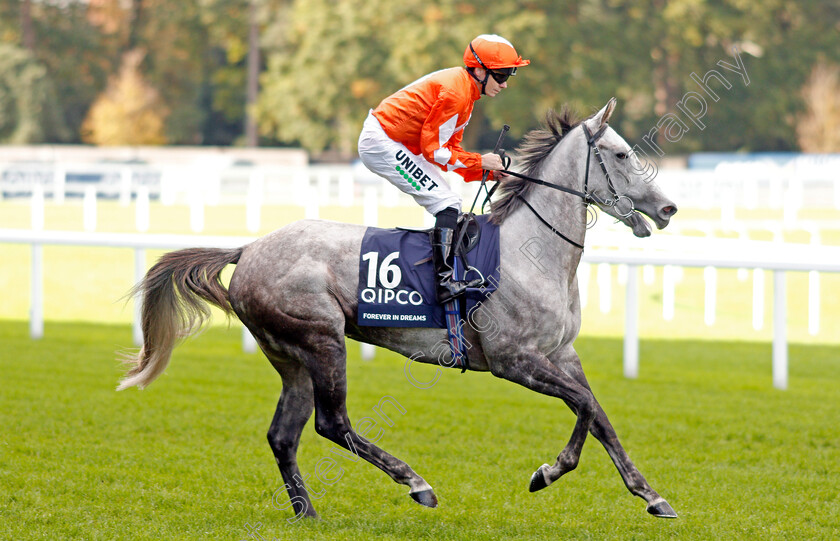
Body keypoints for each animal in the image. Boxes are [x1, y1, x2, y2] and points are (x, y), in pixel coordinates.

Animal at [118, 98, 680, 520]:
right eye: (620, 154)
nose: (668, 208)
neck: (531, 252)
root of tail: (249, 248)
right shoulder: (513, 359)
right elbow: (583, 406)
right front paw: (548, 472)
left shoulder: (561, 354)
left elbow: (598, 413)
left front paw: (652, 496)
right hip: (322, 339)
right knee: (332, 423)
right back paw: (415, 482)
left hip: (290, 357)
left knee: (283, 434)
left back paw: (307, 511)